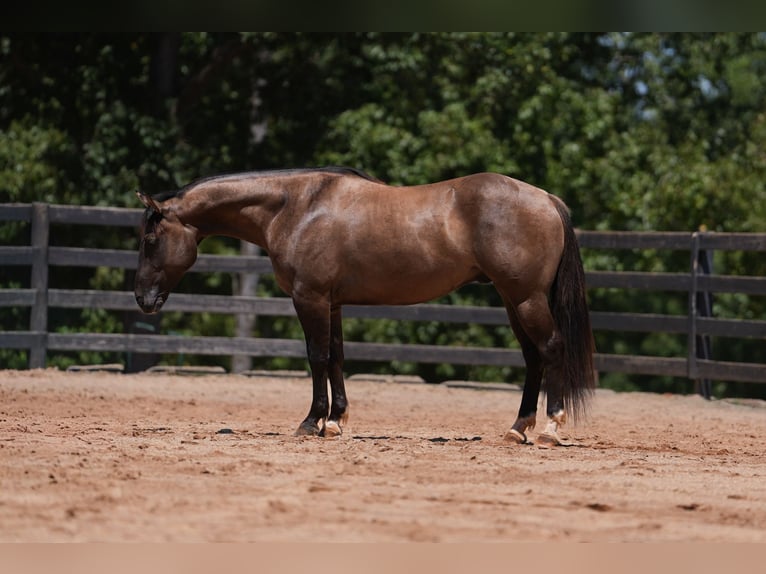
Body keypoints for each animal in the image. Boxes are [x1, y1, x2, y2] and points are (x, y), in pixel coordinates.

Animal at [134, 167, 596, 446]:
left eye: (150, 239)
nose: (142, 299)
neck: (295, 207)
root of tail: (547, 199)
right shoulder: (332, 303)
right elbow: (337, 356)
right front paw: (336, 421)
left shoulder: (310, 298)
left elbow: (317, 357)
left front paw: (311, 422)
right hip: (512, 301)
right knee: (533, 358)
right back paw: (518, 429)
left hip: (526, 298)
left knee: (551, 349)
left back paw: (551, 428)